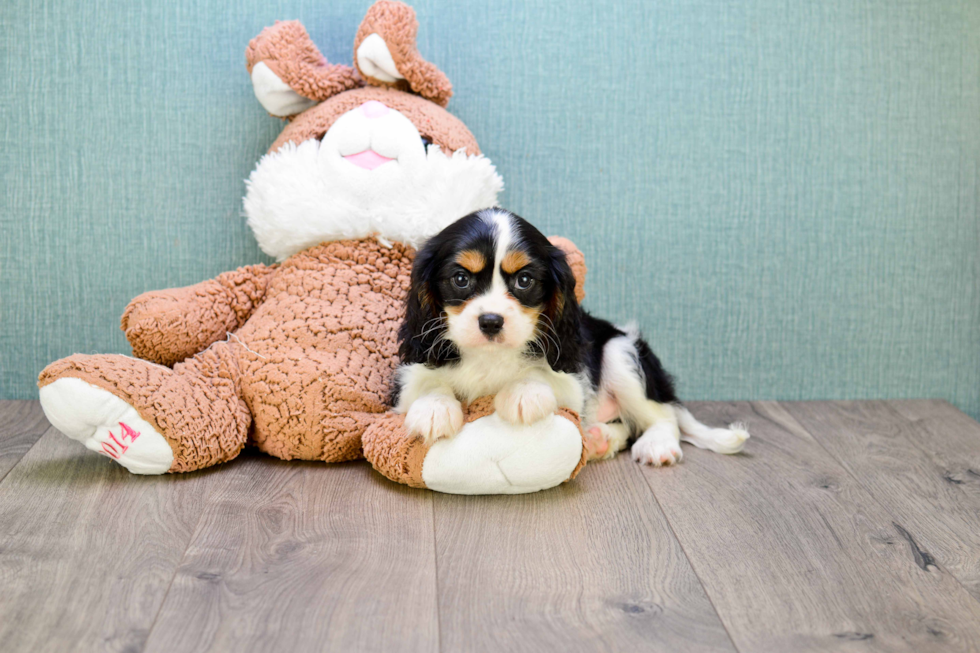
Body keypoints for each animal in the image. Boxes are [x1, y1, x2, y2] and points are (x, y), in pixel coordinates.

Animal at [392, 209, 752, 464]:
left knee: (663, 417)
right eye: (461, 279)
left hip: (622, 352)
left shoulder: (572, 379)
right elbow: (427, 382)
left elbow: (542, 373)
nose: (491, 321)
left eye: (524, 280)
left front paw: (523, 392)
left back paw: (655, 445)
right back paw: (599, 439)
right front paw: (434, 408)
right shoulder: (405, 382)